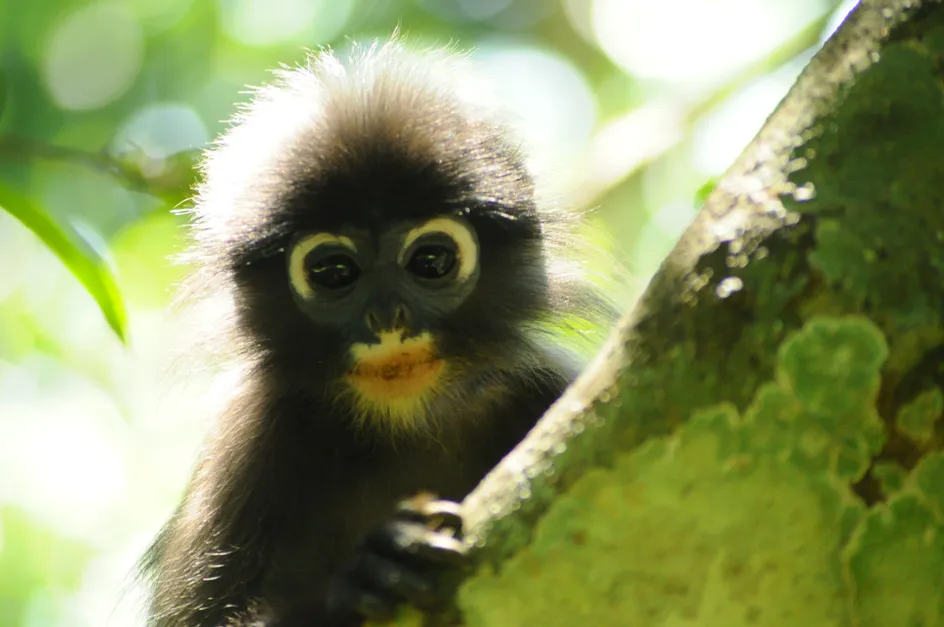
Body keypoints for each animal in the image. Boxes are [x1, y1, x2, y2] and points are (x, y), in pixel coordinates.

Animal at [139, 39, 619, 627]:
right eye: (333, 273)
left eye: (431, 261)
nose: (389, 319)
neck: (403, 419)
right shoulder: (246, 442)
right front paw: (368, 571)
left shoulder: (546, 389)